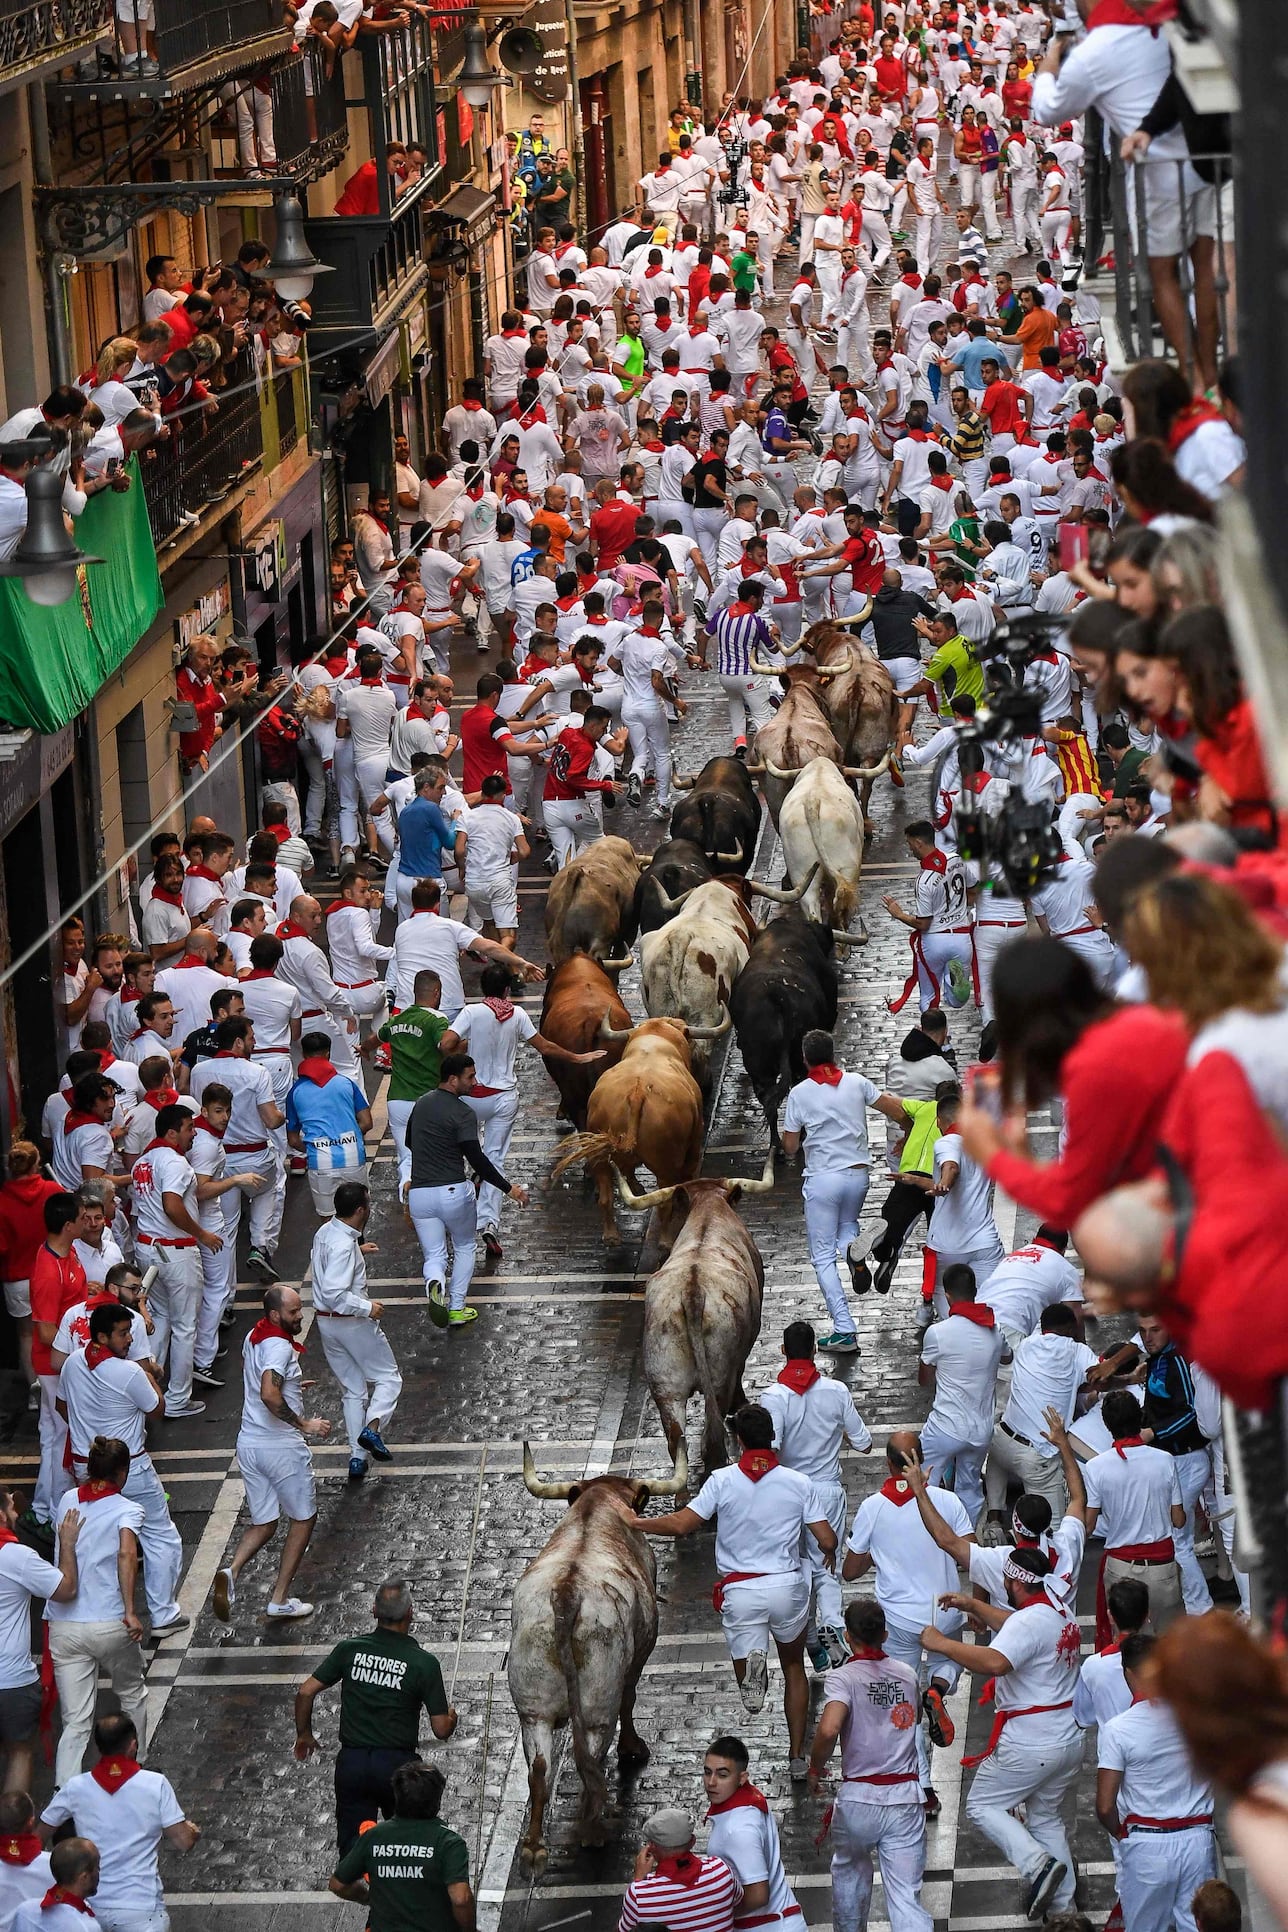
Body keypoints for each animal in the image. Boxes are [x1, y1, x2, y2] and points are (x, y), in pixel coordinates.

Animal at [548, 1020, 699, 1244]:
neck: (653, 1045)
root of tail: (638, 1092)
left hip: (600, 1154)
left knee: (605, 1196)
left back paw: (611, 1235)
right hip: (665, 1164)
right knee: (664, 1200)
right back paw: (665, 1240)